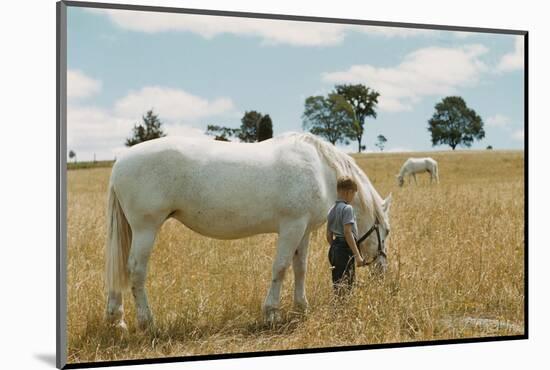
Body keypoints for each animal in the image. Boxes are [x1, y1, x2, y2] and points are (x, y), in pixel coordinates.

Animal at [105, 132, 392, 330]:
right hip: (145, 228)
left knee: (119, 270)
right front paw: (272, 313)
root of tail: (120, 163)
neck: (321, 170)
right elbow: (281, 268)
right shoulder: (292, 226)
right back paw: (147, 322)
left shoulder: (304, 230)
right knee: (135, 270)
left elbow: (300, 268)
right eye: (386, 231)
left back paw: (116, 320)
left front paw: (301, 308)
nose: (382, 271)